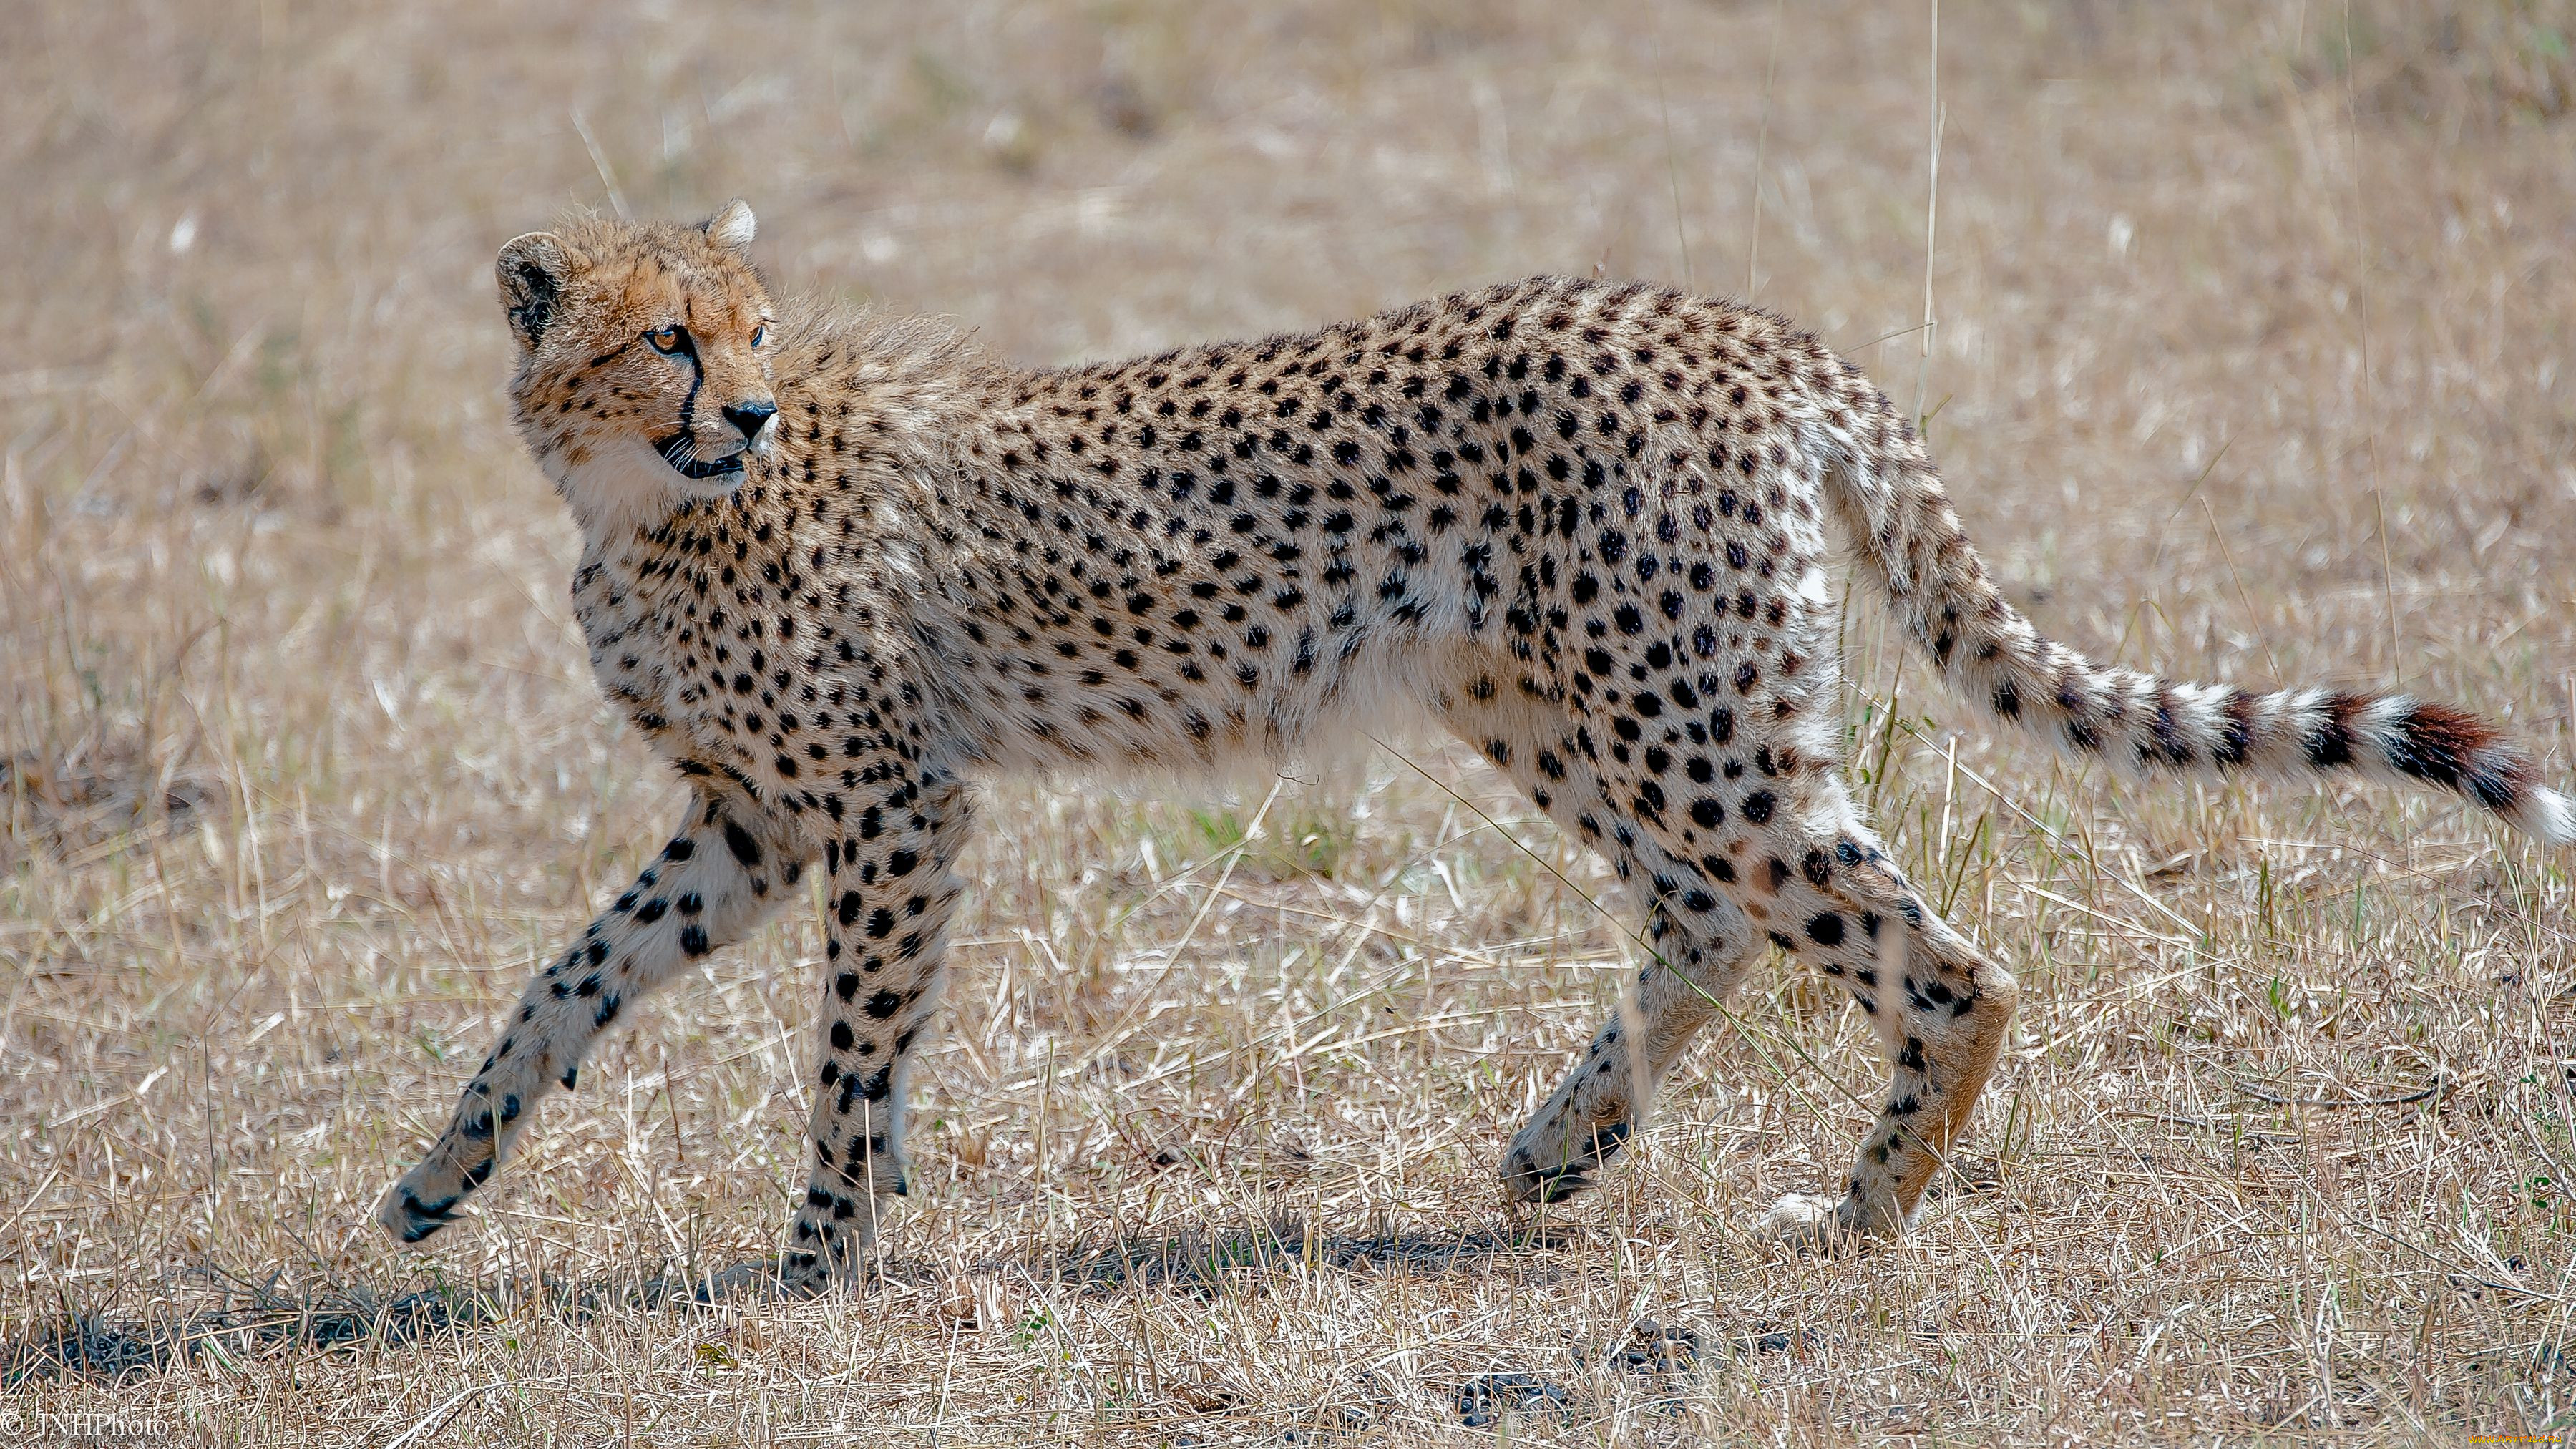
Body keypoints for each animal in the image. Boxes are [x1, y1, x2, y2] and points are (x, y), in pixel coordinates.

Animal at [374, 200, 2565, 1284]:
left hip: (1678, 715)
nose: (740, 409)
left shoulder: (892, 805)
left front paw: (826, 1246)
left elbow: (846, 1048)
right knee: (1712, 917)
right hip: (1558, 699)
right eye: (670, 335)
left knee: (1936, 958)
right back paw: (1560, 1144)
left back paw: (1856, 1217)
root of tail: (1741, 324)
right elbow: (567, 982)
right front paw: (434, 1180)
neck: (640, 504)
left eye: (751, 330)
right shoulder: (754, 819)